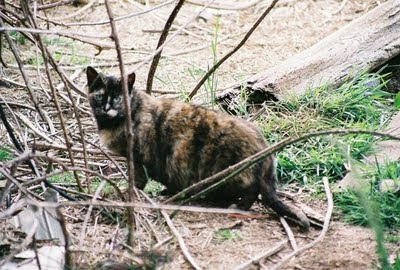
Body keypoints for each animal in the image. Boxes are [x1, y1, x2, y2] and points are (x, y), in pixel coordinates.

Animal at [85, 66, 310, 229]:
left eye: (117, 97)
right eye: (101, 96)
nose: (107, 107)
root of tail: (264, 148)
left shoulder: (140, 156)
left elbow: (138, 179)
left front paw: (129, 193)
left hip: (229, 171)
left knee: (251, 190)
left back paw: (236, 205)